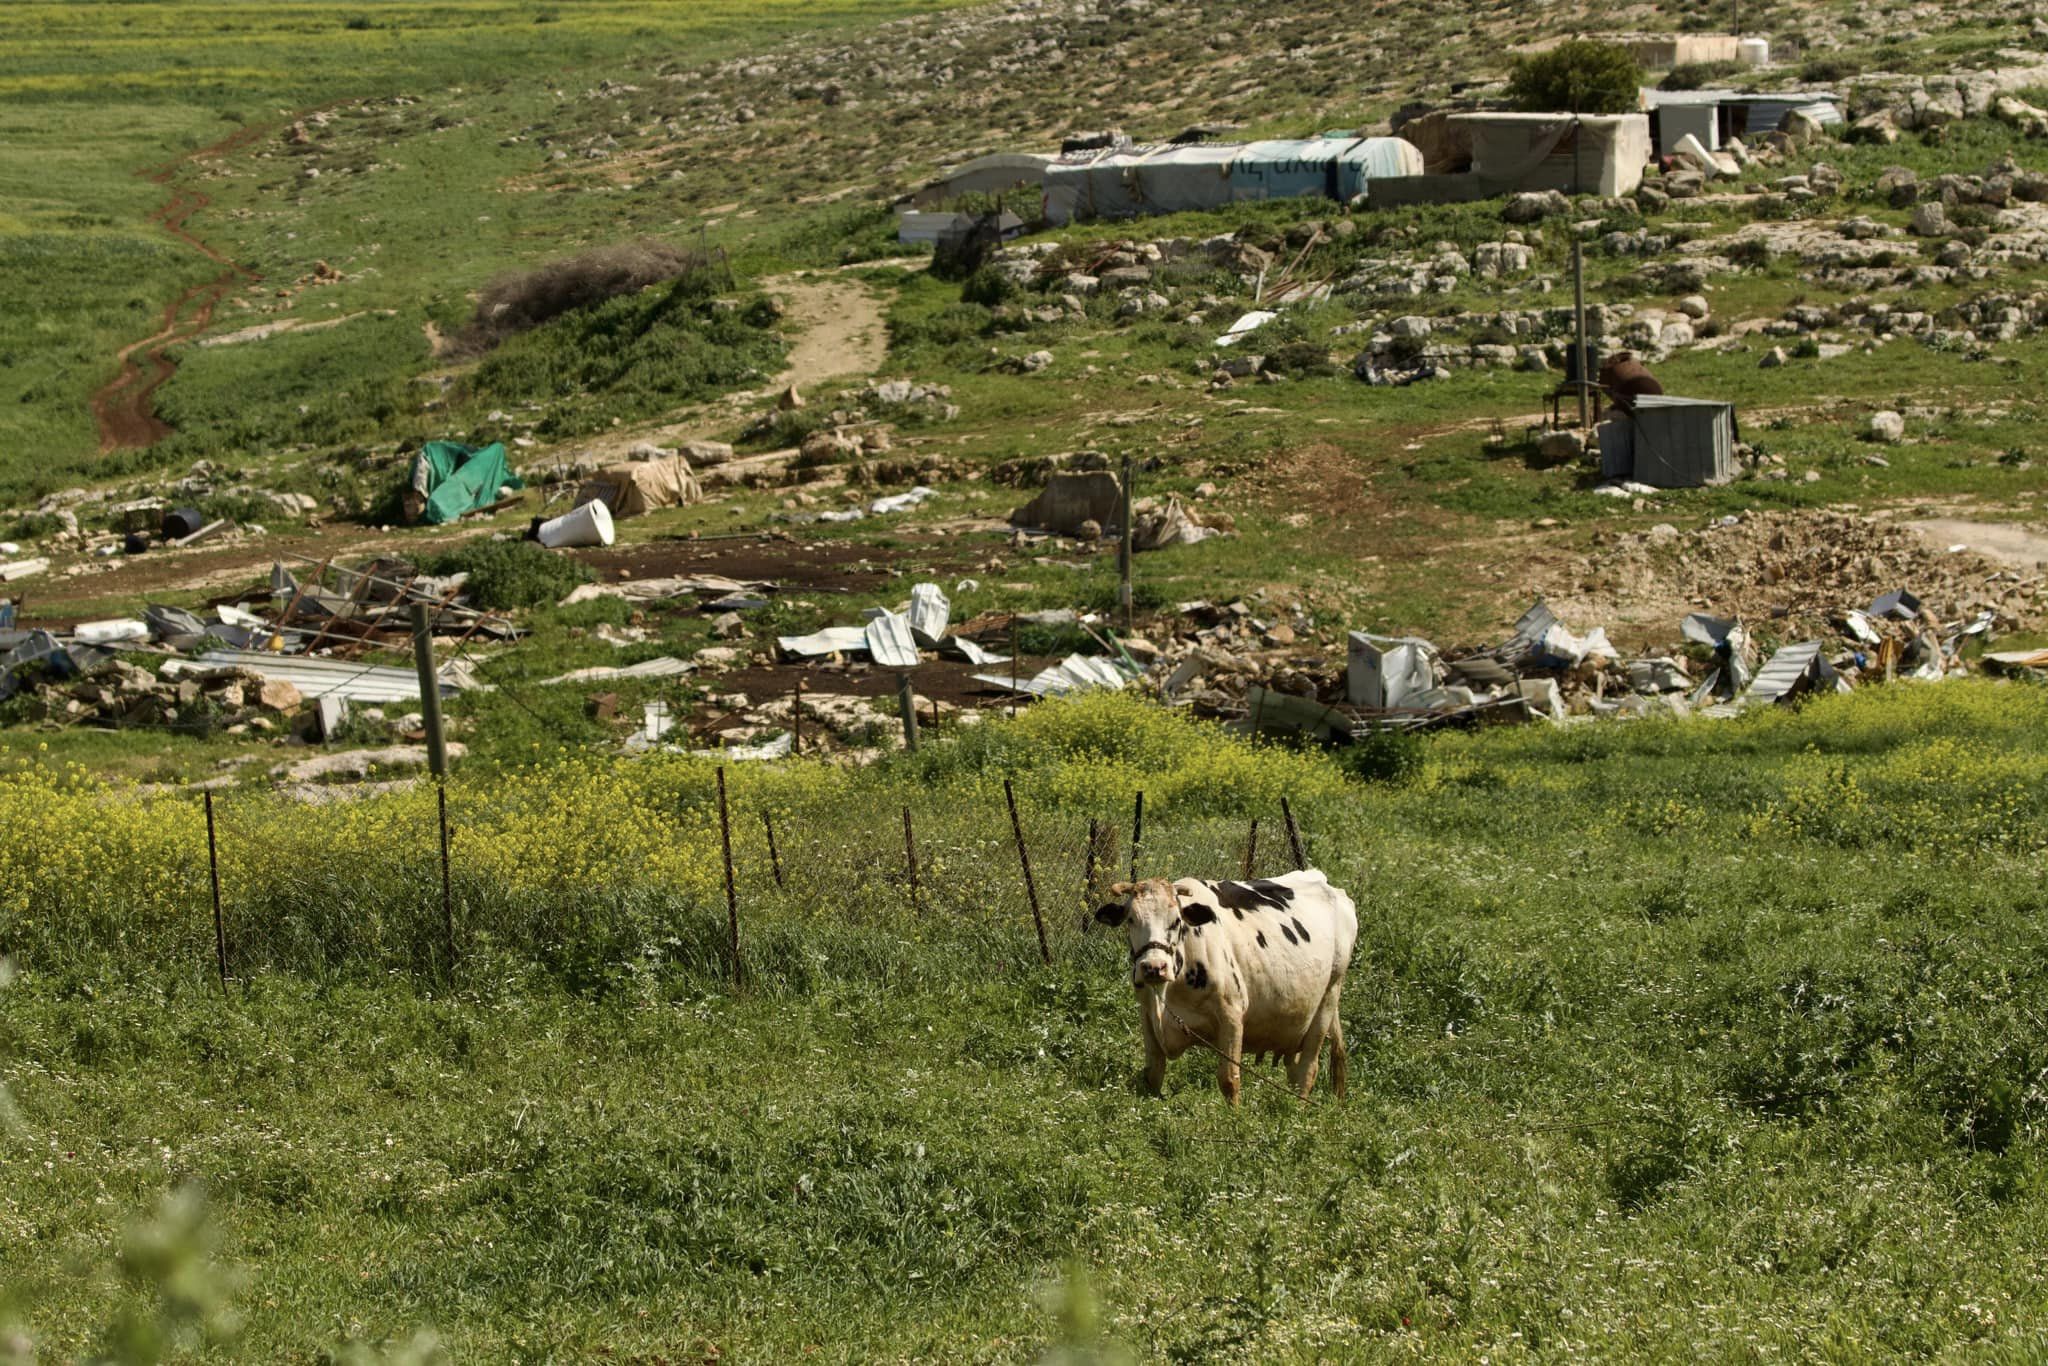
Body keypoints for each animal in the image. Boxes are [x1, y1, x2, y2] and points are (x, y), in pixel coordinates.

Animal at [1089, 872, 1359, 1105]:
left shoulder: (1232, 1013)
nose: (1154, 967)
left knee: (1307, 1072)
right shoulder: (1147, 1015)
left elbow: (1230, 1079)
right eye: (1131, 920)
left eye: (1176, 921)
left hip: (1327, 1000)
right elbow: (1152, 1076)